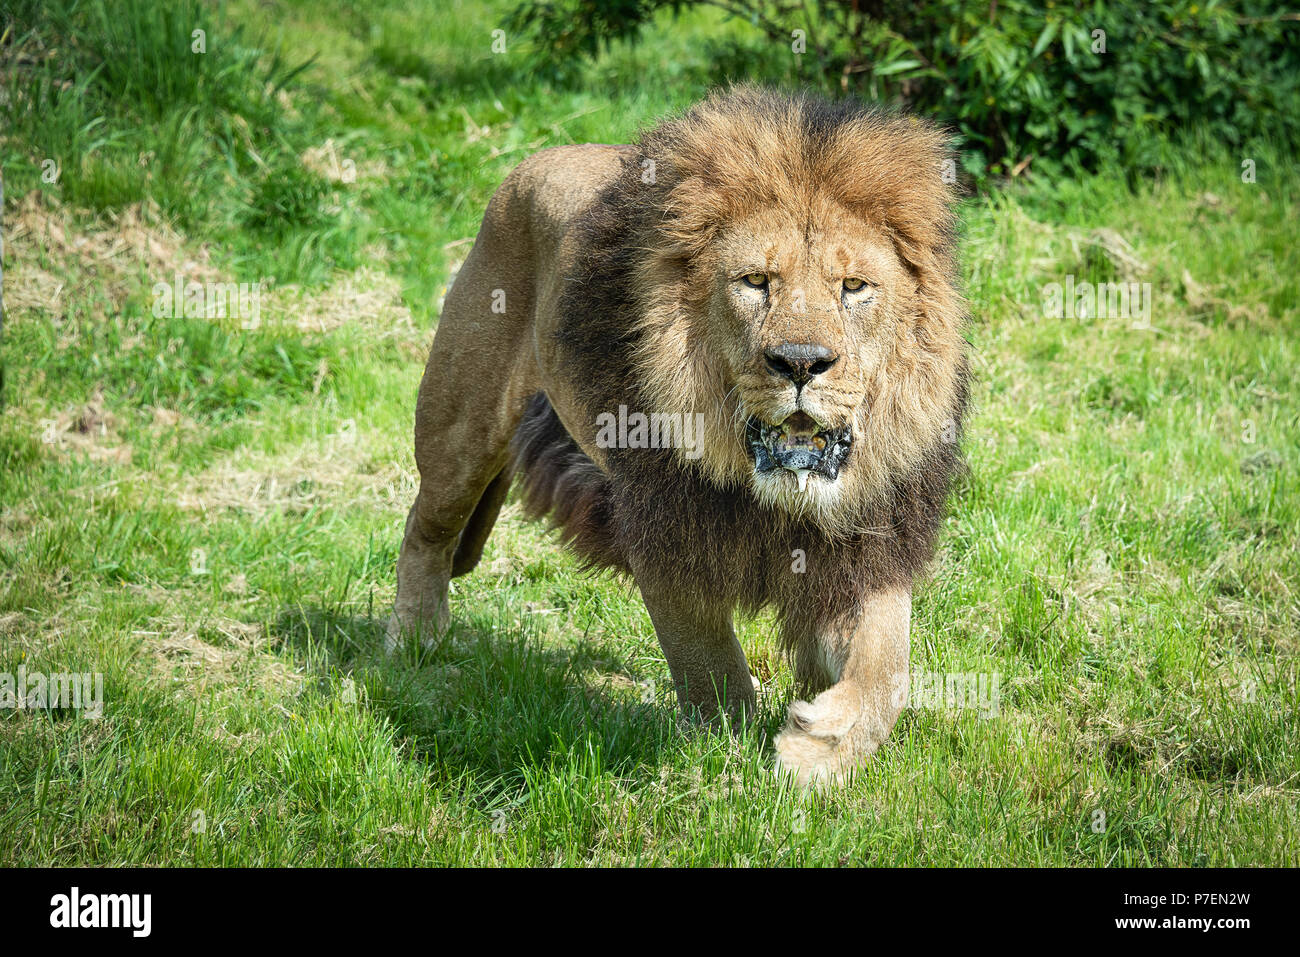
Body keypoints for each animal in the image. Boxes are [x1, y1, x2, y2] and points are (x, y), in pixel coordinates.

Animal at [390, 83, 972, 785]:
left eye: (854, 287)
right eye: (755, 281)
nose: (801, 362)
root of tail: (538, 158)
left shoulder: (866, 545)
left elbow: (887, 671)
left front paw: (819, 749)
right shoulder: (666, 533)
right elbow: (710, 665)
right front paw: (732, 756)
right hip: (459, 425)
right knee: (427, 525)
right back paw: (414, 641)